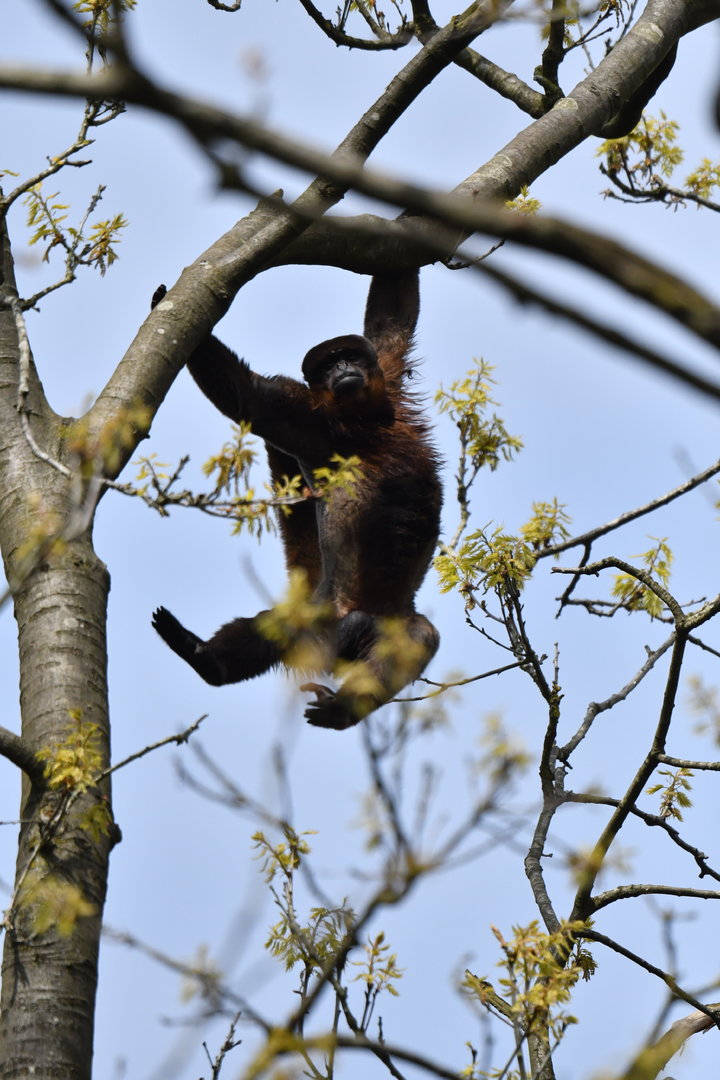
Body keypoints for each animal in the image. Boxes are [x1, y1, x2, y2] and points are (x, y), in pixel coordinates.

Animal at [150, 269, 442, 730]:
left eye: (349, 356)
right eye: (327, 365)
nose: (342, 368)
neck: (364, 420)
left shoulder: (388, 377)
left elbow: (391, 320)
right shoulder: (306, 416)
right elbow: (248, 396)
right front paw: (165, 303)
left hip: (390, 622)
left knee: (420, 637)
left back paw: (343, 708)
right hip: (320, 619)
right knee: (281, 625)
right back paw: (208, 660)